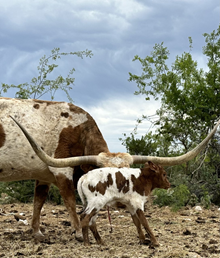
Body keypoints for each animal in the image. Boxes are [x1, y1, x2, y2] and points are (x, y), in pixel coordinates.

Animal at [0, 97, 219, 242]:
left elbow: (38, 202)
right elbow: (70, 202)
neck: (79, 129)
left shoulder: (43, 176)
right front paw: (78, 232)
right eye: (106, 174)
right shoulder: (61, 171)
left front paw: (37, 233)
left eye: (129, 174)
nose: (122, 201)